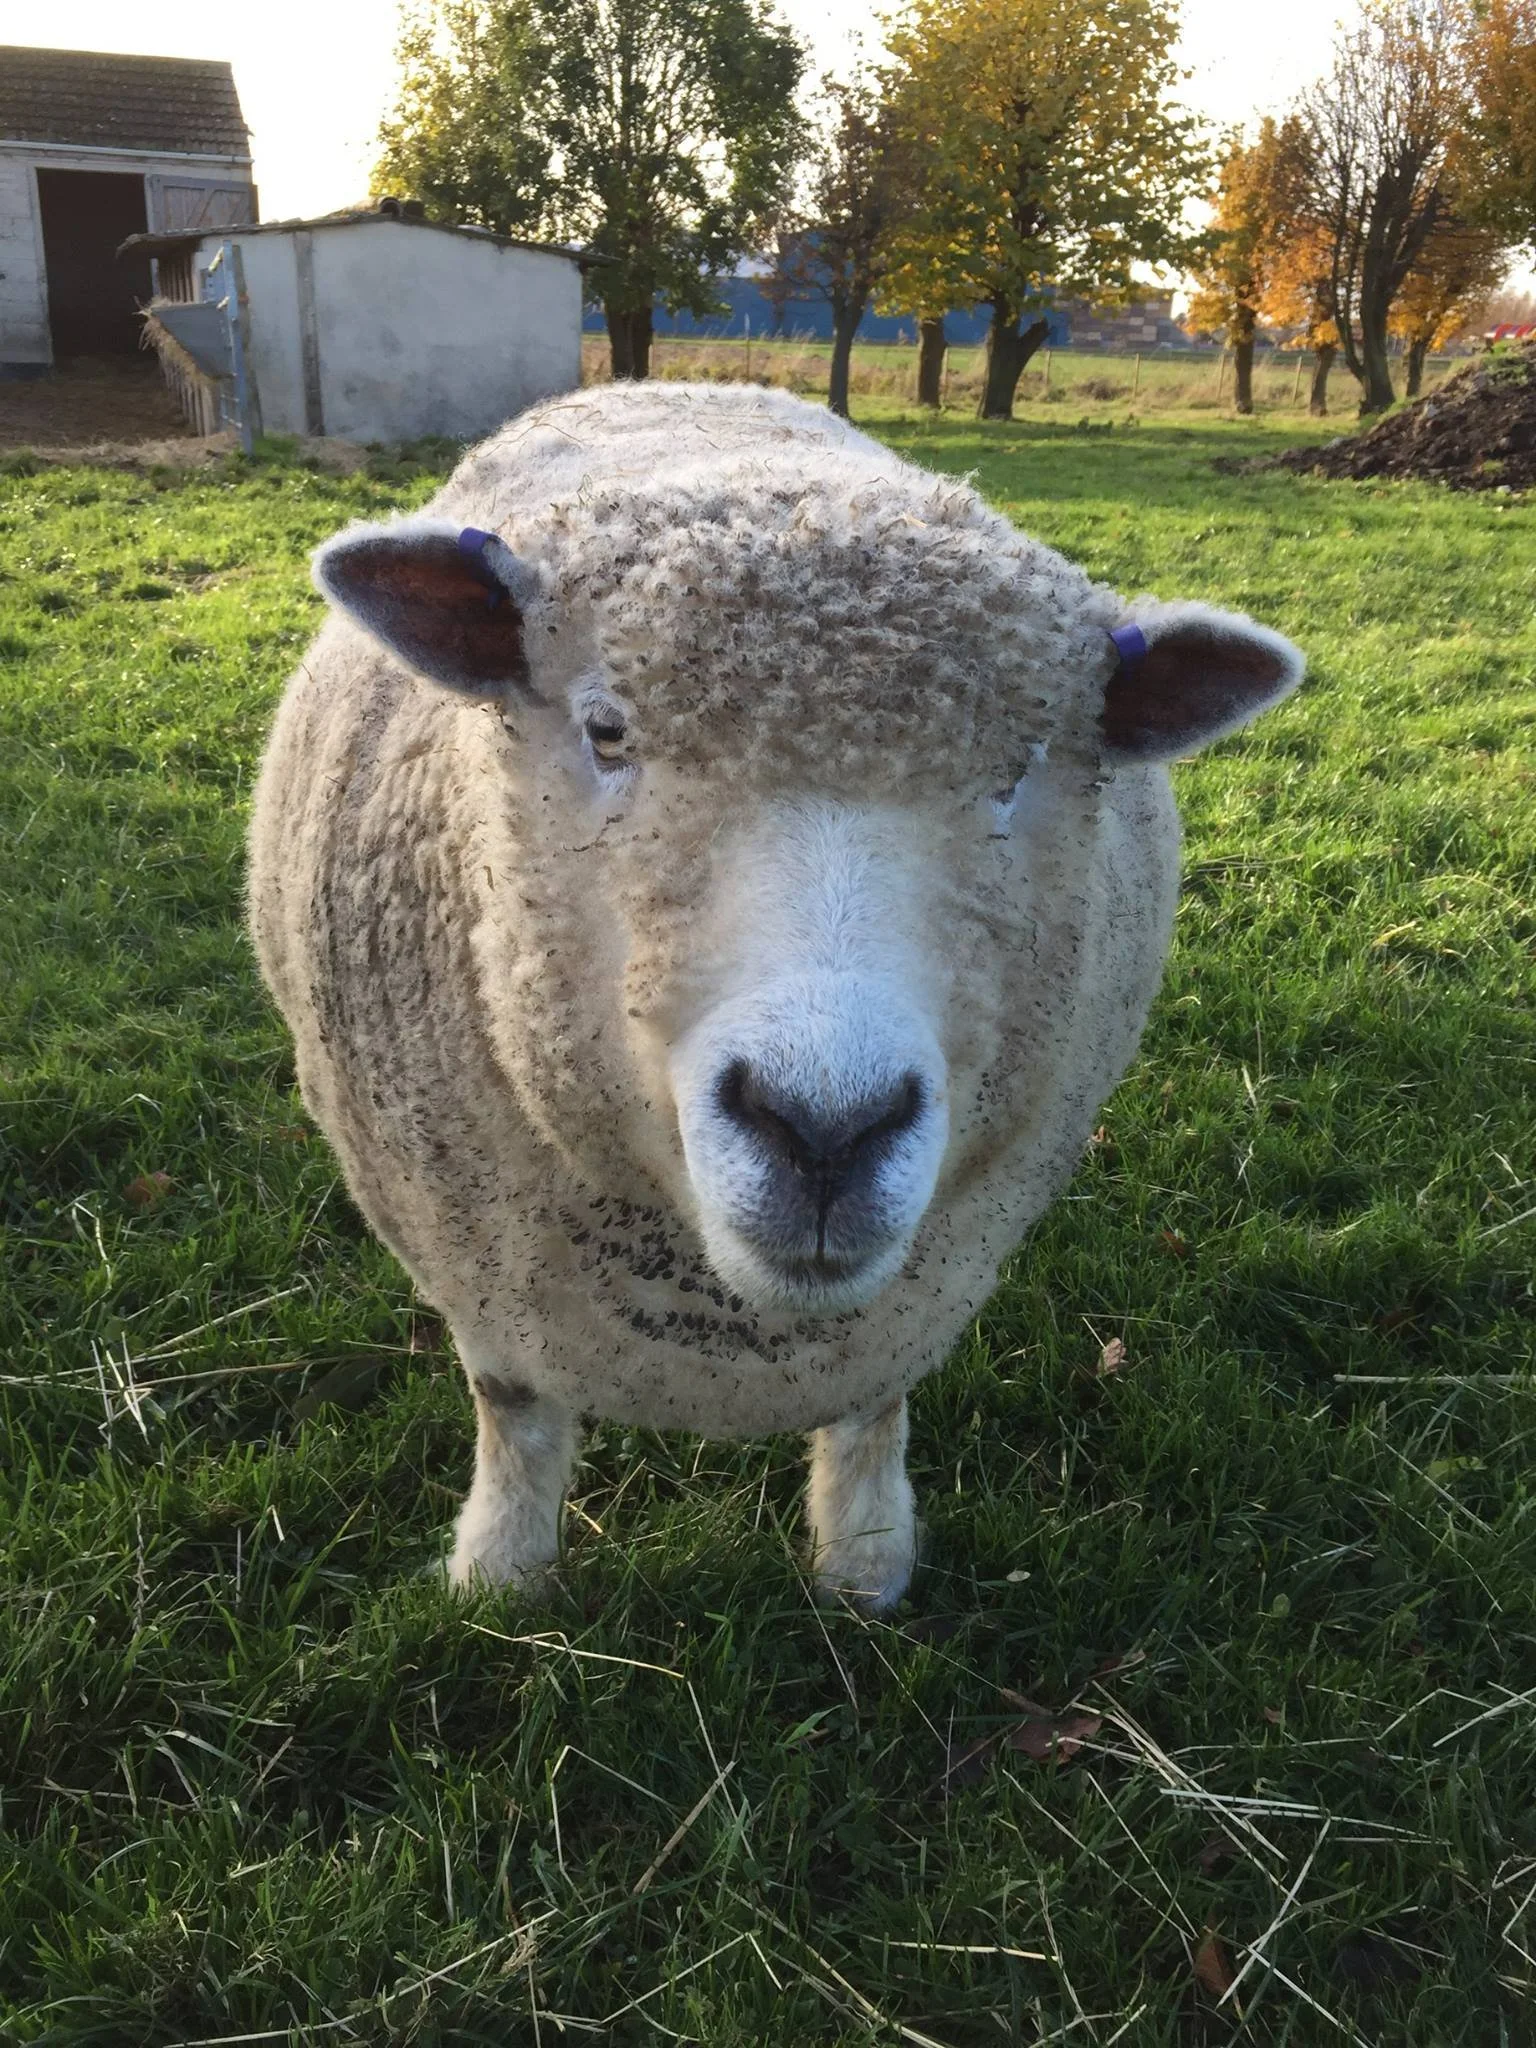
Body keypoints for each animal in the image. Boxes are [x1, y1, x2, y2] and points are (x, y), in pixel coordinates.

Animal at [248, 382, 1302, 1610]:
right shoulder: (478, 1266)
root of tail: (677, 383)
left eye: (1020, 769)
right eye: (606, 729)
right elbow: (513, 1414)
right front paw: (499, 1574)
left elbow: (878, 1406)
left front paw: (866, 1561)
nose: (824, 1128)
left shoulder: (915, 1292)